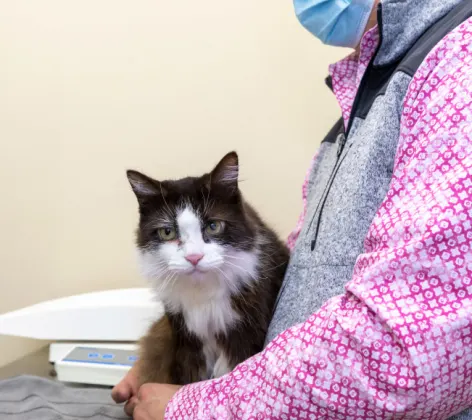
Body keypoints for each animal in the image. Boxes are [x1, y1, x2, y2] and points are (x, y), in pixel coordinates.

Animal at [125, 153, 288, 386]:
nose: (194, 257)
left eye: (213, 226)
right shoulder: (186, 342)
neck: (203, 292)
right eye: (167, 232)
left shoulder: (246, 336)